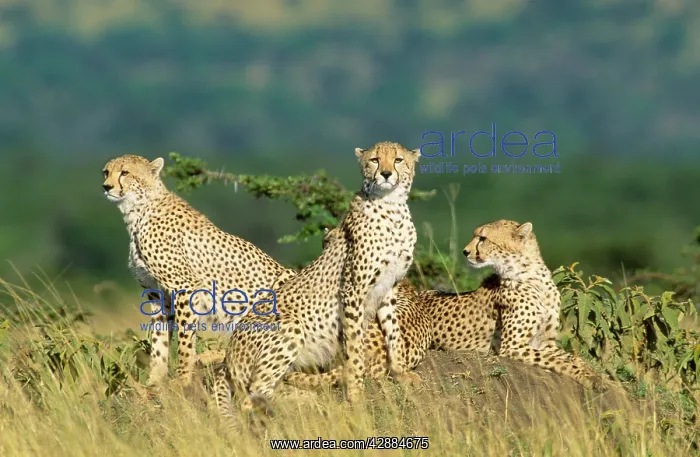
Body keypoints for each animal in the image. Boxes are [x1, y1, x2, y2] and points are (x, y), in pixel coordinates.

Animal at [102, 154, 295, 387]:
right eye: (106, 172)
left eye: (125, 173)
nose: (106, 186)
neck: (138, 210)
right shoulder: (156, 293)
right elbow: (159, 341)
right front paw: (155, 381)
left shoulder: (185, 287)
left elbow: (185, 340)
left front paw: (183, 378)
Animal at [212, 141, 421, 422]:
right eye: (375, 160)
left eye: (398, 160)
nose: (386, 174)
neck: (393, 209)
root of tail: (228, 354)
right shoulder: (352, 290)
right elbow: (355, 349)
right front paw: (356, 394)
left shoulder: (389, 288)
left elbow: (393, 333)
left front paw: (400, 373)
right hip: (289, 326)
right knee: (251, 396)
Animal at [284, 219, 603, 390]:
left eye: (483, 238)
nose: (465, 251)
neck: (530, 274)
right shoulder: (512, 346)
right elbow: (562, 361)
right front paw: (588, 377)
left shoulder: (545, 340)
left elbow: (568, 357)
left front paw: (593, 373)